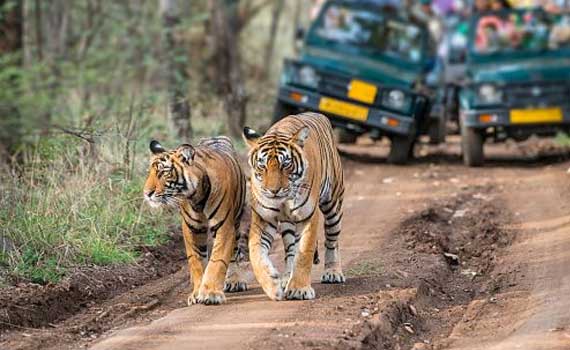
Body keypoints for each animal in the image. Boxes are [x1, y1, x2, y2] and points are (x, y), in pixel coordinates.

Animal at [143, 135, 247, 304]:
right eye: (149, 173)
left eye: (164, 173)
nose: (146, 193)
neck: (196, 197)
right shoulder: (192, 228)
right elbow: (197, 261)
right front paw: (196, 293)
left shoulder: (224, 226)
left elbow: (218, 259)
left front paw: (211, 293)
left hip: (236, 220)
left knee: (235, 251)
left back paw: (234, 281)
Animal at [242, 112, 344, 300]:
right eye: (262, 165)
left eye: (286, 164)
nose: (273, 191)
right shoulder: (264, 218)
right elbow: (255, 253)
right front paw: (273, 285)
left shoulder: (309, 216)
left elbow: (304, 252)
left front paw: (299, 289)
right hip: (288, 224)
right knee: (290, 250)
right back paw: (286, 278)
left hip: (333, 204)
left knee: (332, 240)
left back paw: (333, 272)